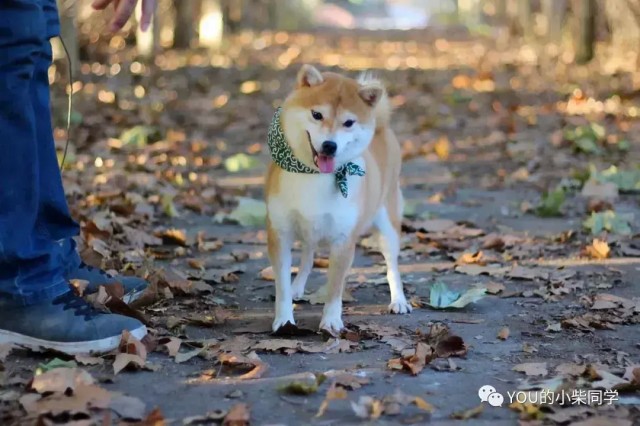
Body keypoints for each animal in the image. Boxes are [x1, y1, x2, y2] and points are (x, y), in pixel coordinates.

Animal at [264, 64, 410, 336]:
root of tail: (382, 126)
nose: (329, 146)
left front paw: (331, 321)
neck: (313, 175)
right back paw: (299, 286)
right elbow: (283, 286)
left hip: (388, 226)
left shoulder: (344, 239)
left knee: (392, 266)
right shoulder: (280, 232)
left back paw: (399, 300)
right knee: (308, 256)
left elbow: (334, 287)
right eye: (317, 114)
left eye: (349, 122)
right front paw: (284, 320)